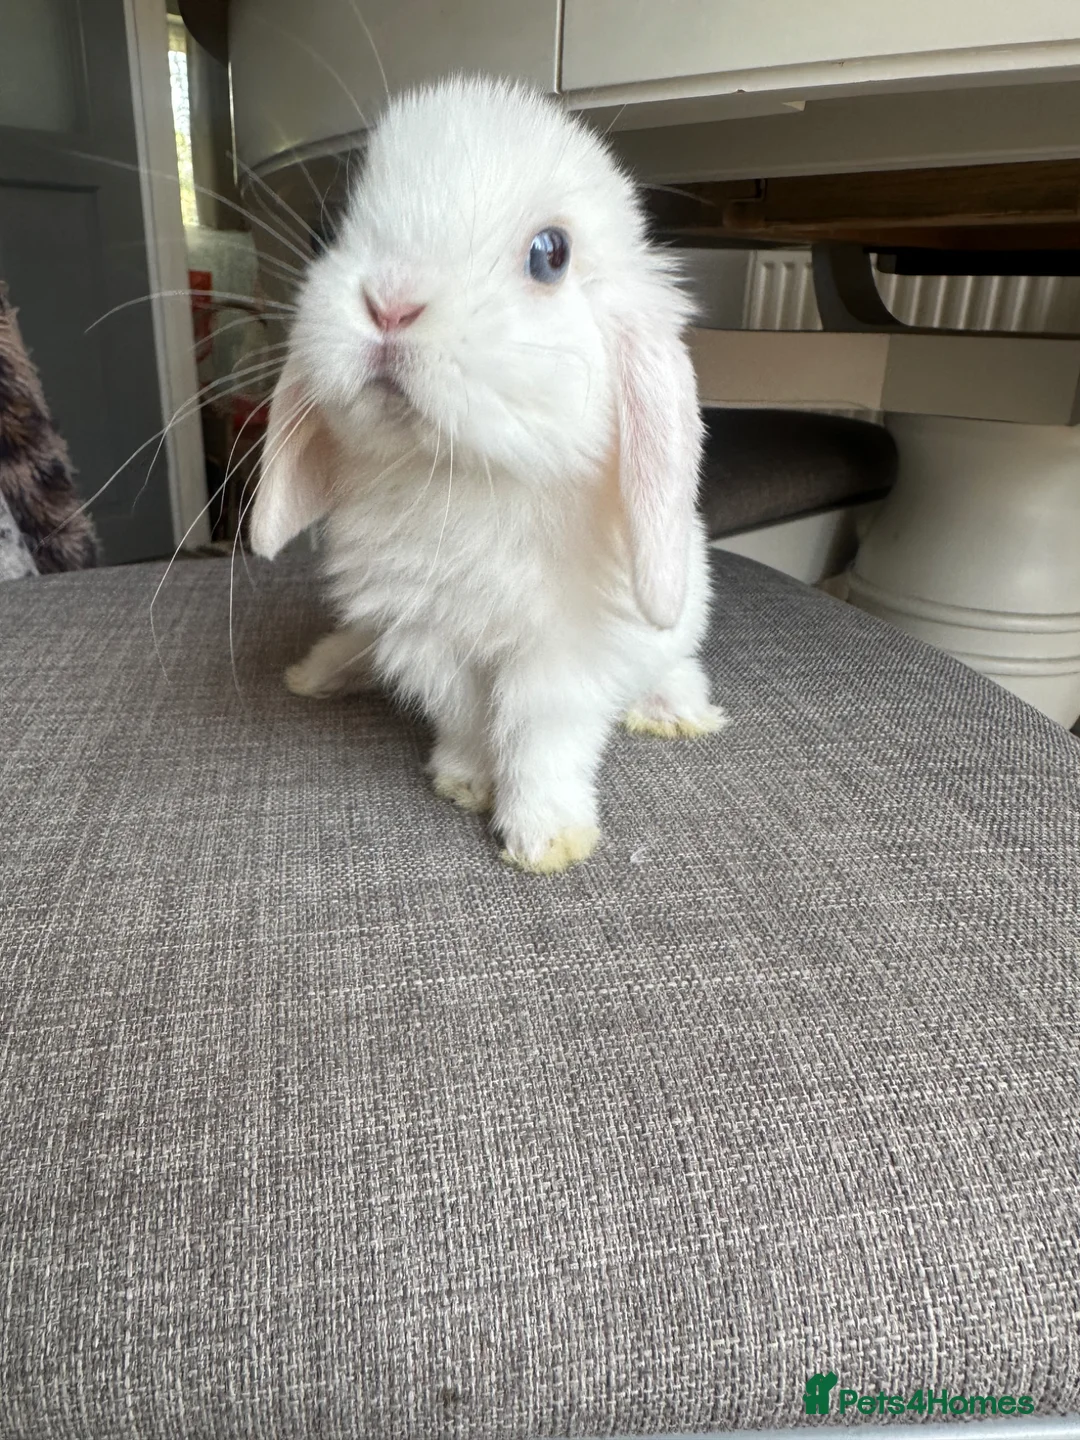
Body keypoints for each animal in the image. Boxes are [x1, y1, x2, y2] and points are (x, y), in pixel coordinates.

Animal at [249, 74, 727, 874]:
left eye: (550, 254)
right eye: (340, 226)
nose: (390, 302)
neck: (460, 476)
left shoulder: (562, 655)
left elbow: (539, 737)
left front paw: (543, 840)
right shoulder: (429, 639)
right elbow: (469, 718)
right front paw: (466, 782)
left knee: (667, 665)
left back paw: (675, 712)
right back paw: (321, 673)